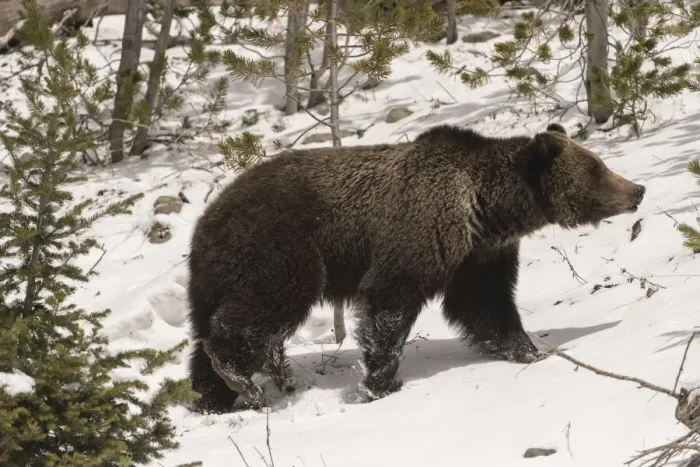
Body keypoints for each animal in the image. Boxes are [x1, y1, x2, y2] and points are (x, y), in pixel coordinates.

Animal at [185, 123, 646, 413]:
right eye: (597, 168)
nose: (637, 189)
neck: (486, 208)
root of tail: (207, 218)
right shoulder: (421, 230)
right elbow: (389, 302)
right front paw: (380, 383)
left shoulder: (476, 257)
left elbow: (487, 306)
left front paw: (530, 350)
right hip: (278, 247)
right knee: (266, 304)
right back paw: (240, 376)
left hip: (214, 276)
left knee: (203, 334)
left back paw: (212, 398)